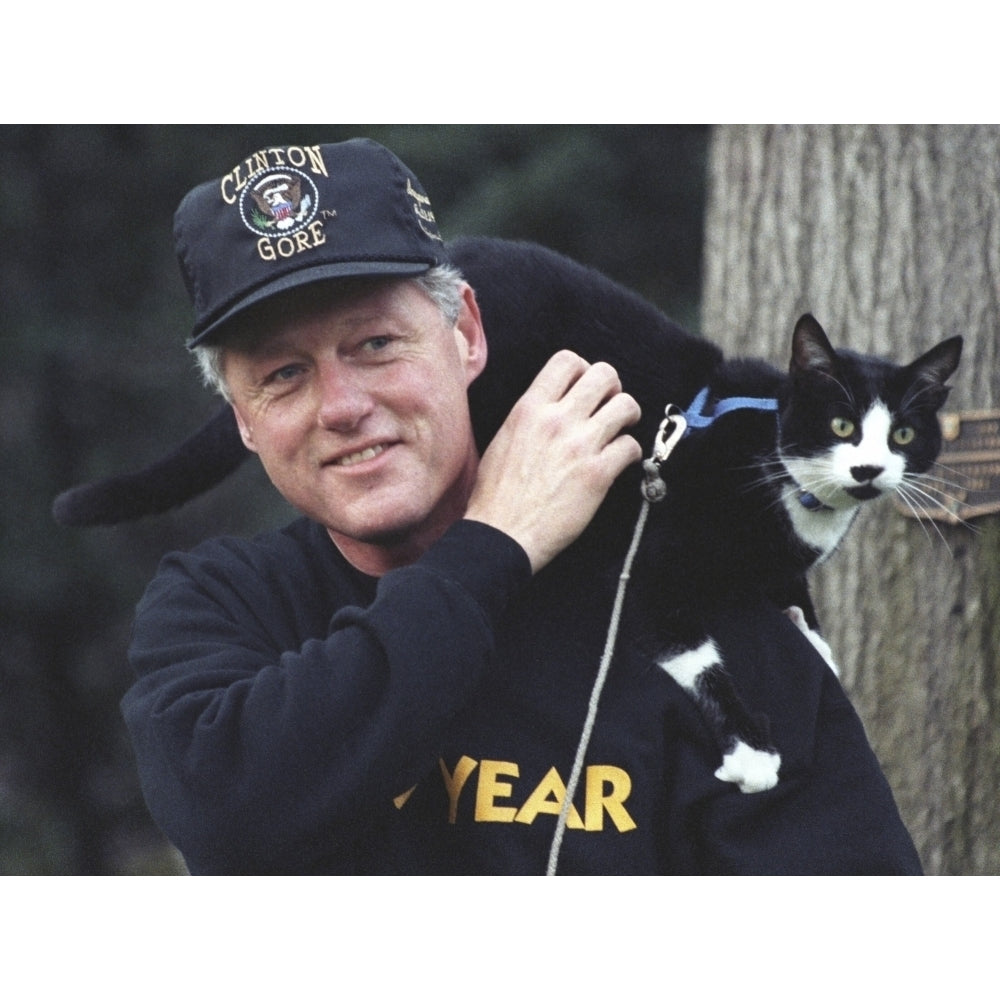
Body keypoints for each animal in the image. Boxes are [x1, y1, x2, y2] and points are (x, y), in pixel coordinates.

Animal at [632, 316, 960, 792]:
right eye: (841, 426)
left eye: (903, 434)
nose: (868, 470)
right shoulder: (651, 560)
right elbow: (692, 652)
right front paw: (750, 750)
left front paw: (813, 638)